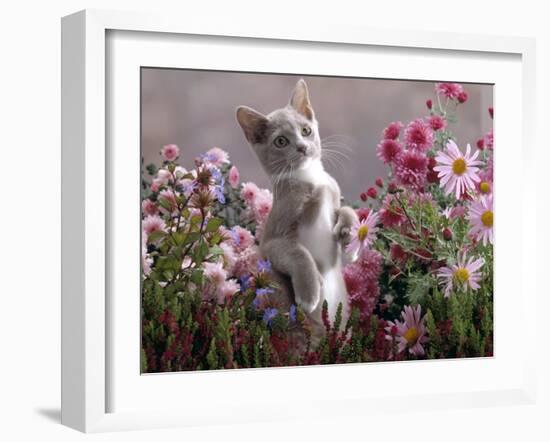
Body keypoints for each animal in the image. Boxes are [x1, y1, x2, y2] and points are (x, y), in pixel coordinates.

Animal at [236, 79, 358, 342]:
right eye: (281, 141)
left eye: (306, 131)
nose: (302, 147)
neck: (311, 180)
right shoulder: (273, 239)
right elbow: (299, 253)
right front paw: (309, 293)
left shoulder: (333, 193)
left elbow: (346, 210)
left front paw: (350, 240)